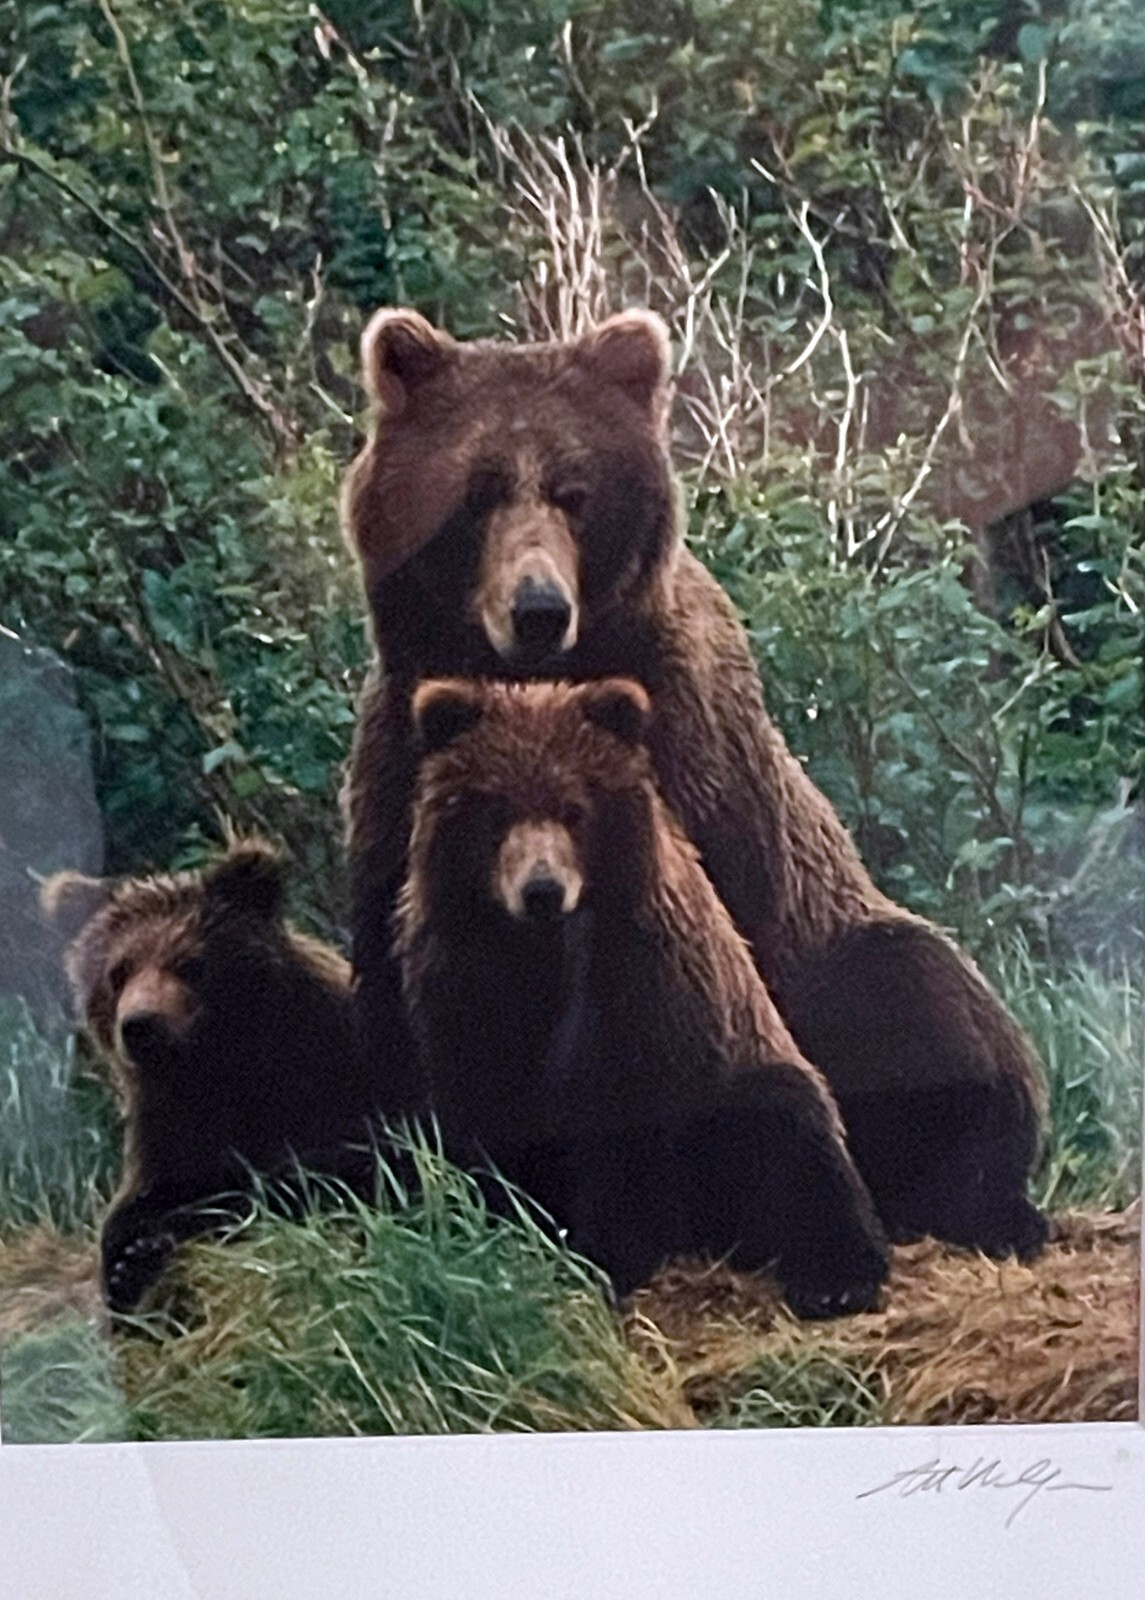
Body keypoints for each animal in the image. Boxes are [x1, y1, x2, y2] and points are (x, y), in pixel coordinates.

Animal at [41, 840, 382, 1314]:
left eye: (188, 963)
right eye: (118, 971)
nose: (140, 1025)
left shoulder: (333, 1073)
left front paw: (153, 1243)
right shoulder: (165, 1125)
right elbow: (134, 1208)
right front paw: (128, 1262)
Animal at [395, 674, 890, 1318]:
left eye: (574, 808)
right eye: (496, 808)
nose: (542, 889)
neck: (540, 954)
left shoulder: (643, 989)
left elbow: (625, 1133)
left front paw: (608, 1257)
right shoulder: (463, 984)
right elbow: (486, 1117)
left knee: (795, 1131)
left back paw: (834, 1276)